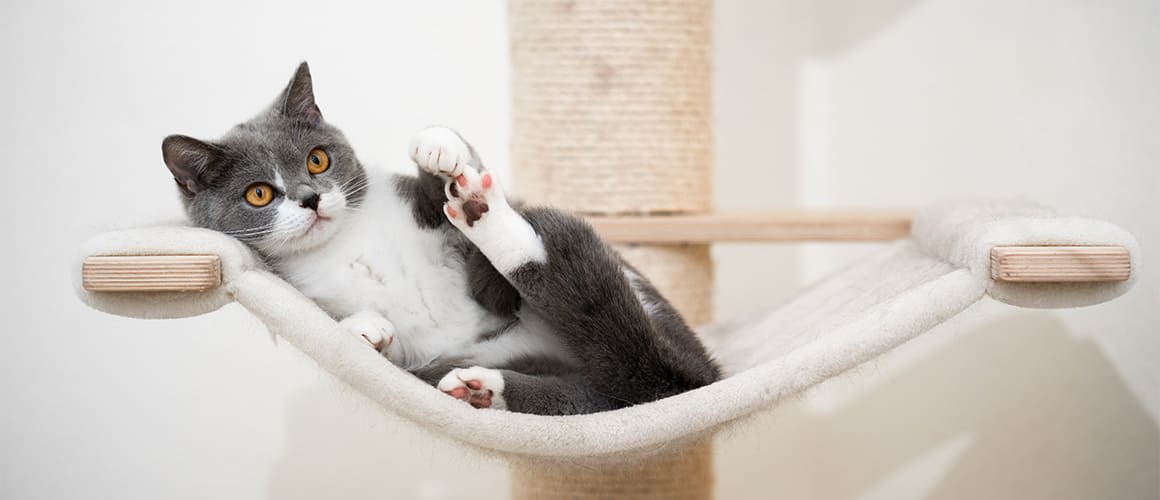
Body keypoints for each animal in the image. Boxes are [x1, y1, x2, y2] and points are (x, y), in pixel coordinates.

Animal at [160, 62, 719, 415]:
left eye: (318, 159)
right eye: (259, 193)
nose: (310, 199)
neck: (346, 242)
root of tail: (701, 376)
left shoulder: (448, 242)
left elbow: (470, 245)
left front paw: (439, 148)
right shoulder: (313, 298)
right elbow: (365, 339)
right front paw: (365, 329)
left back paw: (482, 210)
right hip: (501, 365)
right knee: (604, 393)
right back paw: (481, 389)